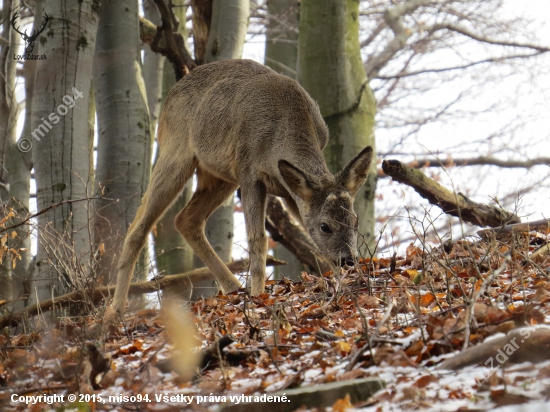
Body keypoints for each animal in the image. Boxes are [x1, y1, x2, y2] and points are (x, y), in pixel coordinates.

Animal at [104, 58, 376, 322]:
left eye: (355, 220)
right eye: (325, 226)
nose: (348, 260)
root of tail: (170, 94)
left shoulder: (288, 188)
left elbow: (304, 234)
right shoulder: (249, 172)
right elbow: (258, 238)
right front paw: (259, 296)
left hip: (218, 176)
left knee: (186, 220)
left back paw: (234, 288)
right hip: (175, 152)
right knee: (139, 227)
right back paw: (114, 312)